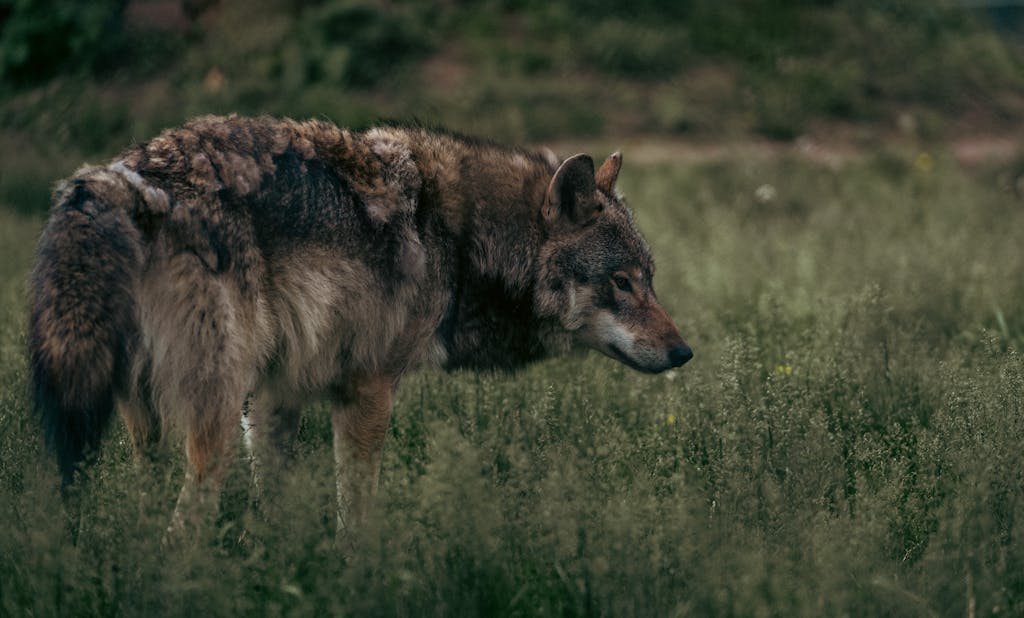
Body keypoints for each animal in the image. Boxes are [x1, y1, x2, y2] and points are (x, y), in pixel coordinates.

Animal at [29, 114, 692, 537]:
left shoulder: (272, 397)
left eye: (649, 279)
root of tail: (123, 179)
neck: (458, 239)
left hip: (146, 425)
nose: (684, 353)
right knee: (182, 530)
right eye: (622, 282)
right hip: (209, 421)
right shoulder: (367, 391)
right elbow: (358, 519)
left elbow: (274, 514)